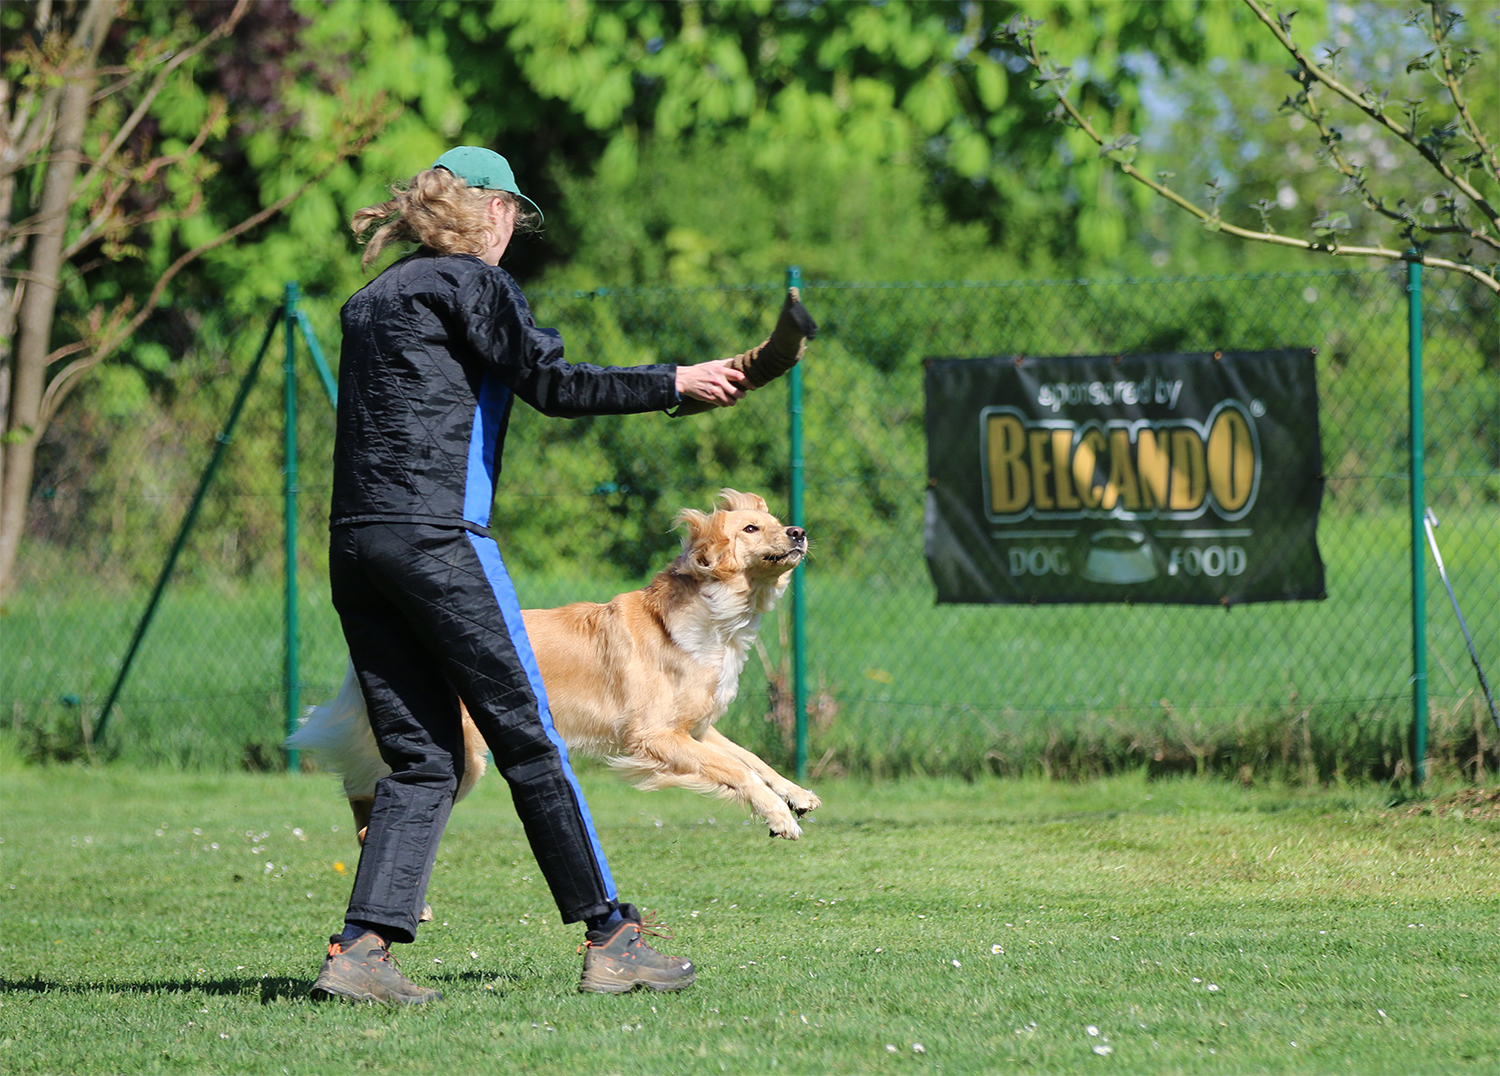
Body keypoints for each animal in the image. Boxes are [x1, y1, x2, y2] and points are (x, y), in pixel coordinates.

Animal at [288, 489, 821, 845]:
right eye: (751, 529)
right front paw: (778, 816)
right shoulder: (654, 736)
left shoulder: (694, 729)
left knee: (361, 794)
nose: (799, 532)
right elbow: (737, 770)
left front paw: (795, 794)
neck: (715, 618)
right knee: (371, 804)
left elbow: (751, 759)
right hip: (464, 758)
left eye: (774, 519)